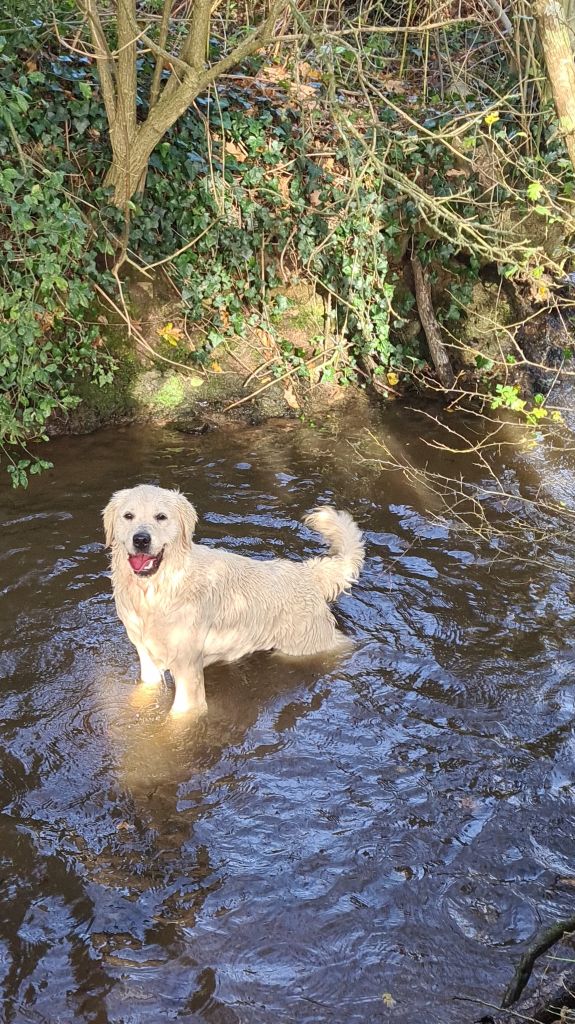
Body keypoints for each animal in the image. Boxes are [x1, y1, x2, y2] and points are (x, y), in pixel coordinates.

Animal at [102, 485, 362, 712]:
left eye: (161, 517)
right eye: (128, 516)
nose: (141, 539)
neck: (160, 588)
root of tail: (309, 573)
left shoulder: (188, 672)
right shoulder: (146, 656)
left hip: (304, 646)